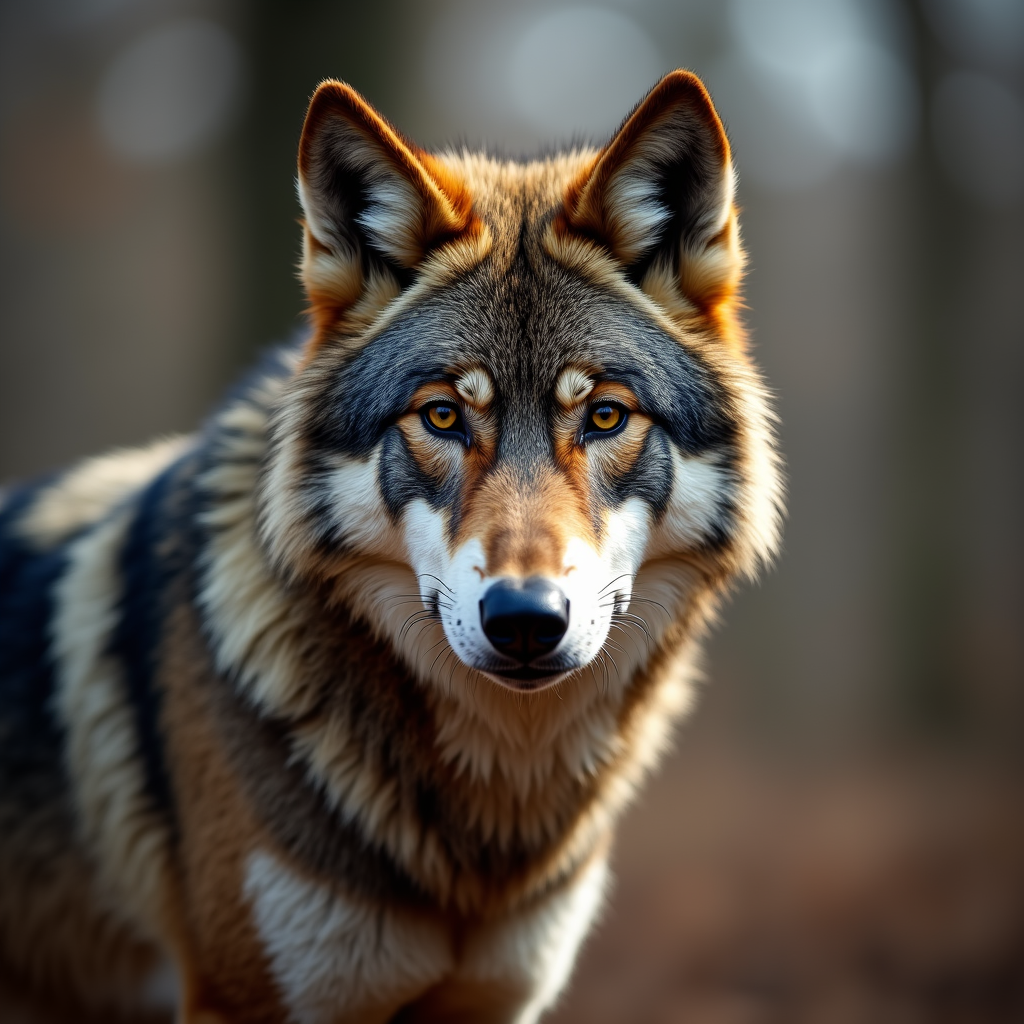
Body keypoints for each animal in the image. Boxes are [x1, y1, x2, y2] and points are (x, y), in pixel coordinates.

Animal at [0, 70, 782, 1022]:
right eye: (441, 415)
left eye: (604, 416)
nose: (526, 619)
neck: (488, 828)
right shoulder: (248, 1000)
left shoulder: (499, 1002)